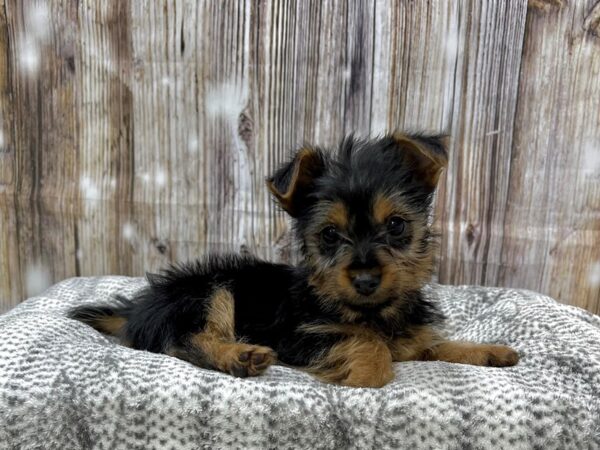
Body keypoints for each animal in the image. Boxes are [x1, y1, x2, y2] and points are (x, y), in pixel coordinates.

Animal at [69, 133, 520, 386]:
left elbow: (432, 345)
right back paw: (239, 356)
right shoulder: (301, 335)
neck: (371, 310)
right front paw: (366, 373)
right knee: (183, 341)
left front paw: (487, 351)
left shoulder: (410, 337)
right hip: (206, 292)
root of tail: (137, 308)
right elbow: (365, 341)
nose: (366, 279)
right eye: (330, 235)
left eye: (396, 226)